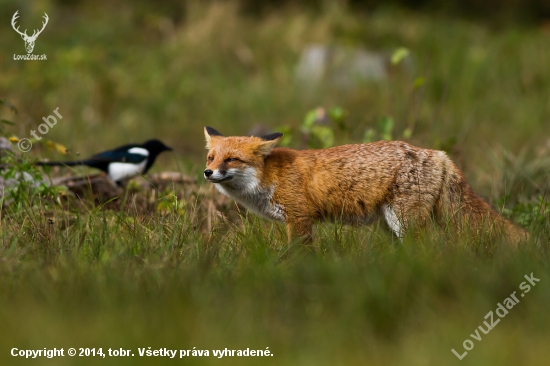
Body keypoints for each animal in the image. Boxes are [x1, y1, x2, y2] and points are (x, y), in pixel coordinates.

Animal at [204, 127, 532, 244]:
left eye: (232, 159)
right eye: (211, 157)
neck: (269, 177)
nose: (208, 172)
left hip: (404, 221)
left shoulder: (299, 219)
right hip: (391, 225)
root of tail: (438, 154)